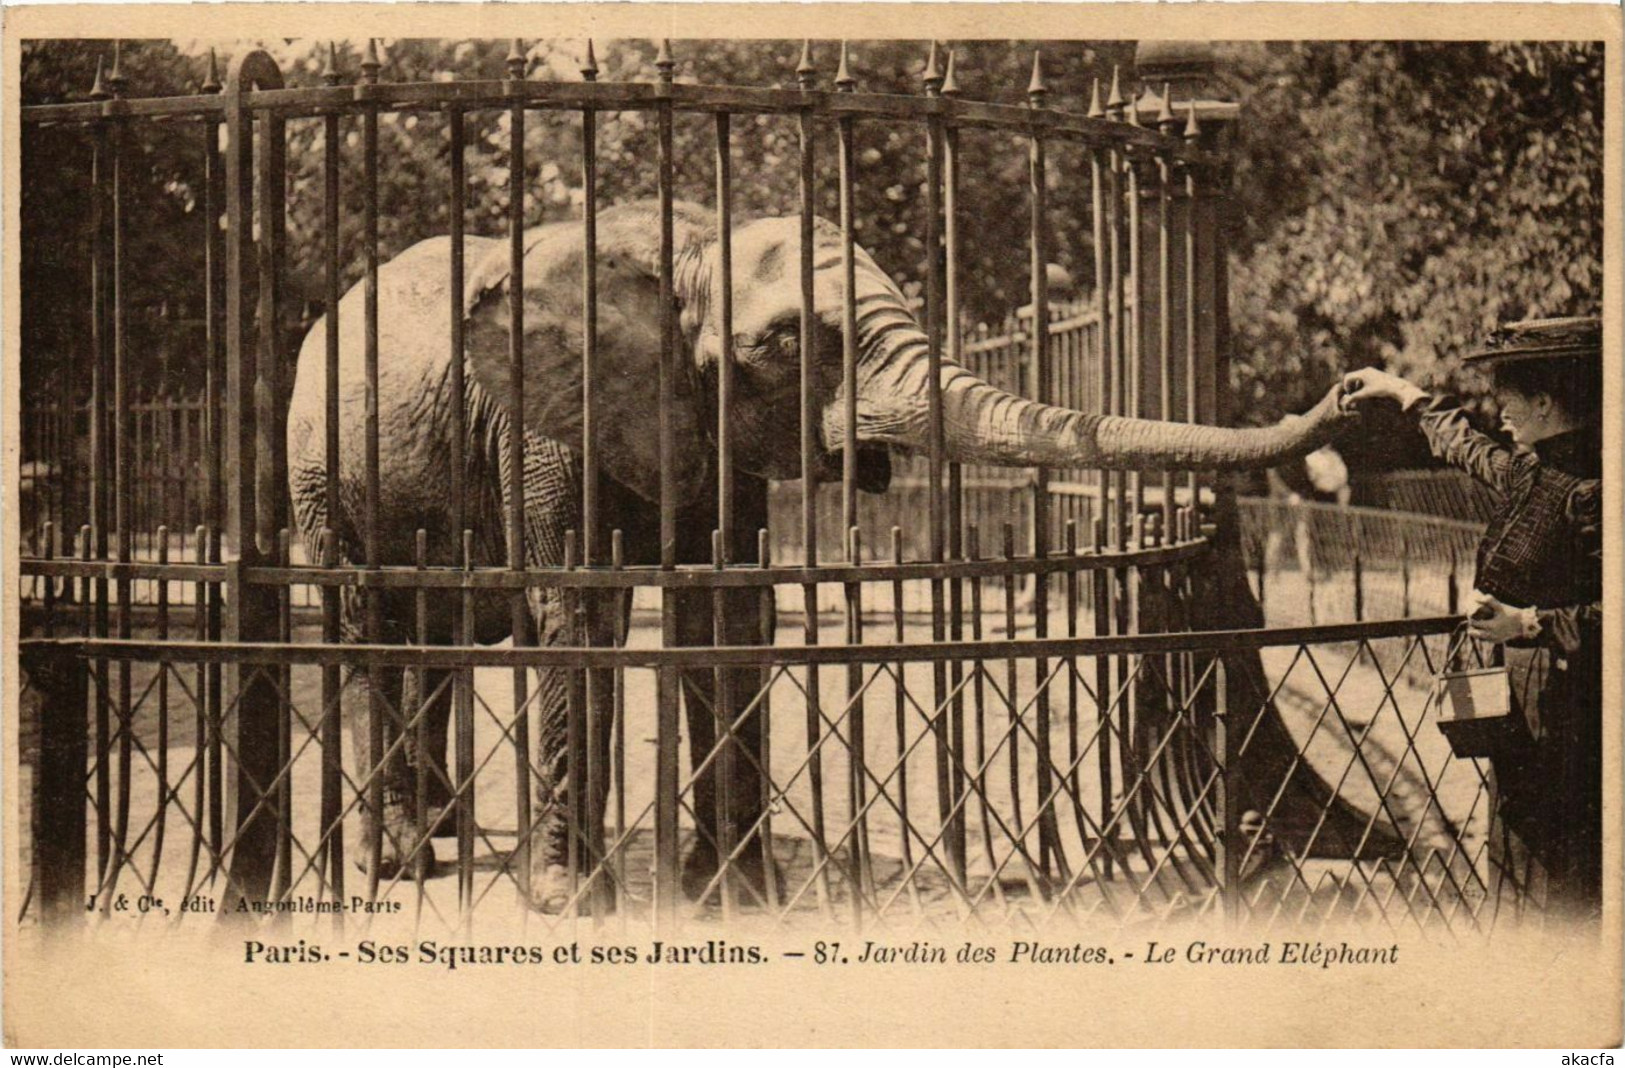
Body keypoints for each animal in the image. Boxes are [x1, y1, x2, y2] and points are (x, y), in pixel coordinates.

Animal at [286, 197, 1352, 910]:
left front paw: (735, 891)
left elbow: (728, 612)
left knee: (430, 645)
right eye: (790, 342)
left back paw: (438, 835)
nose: (1356, 391)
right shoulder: (539, 424)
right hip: (315, 467)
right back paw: (397, 861)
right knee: (370, 630)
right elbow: (574, 613)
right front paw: (565, 903)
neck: (680, 248)